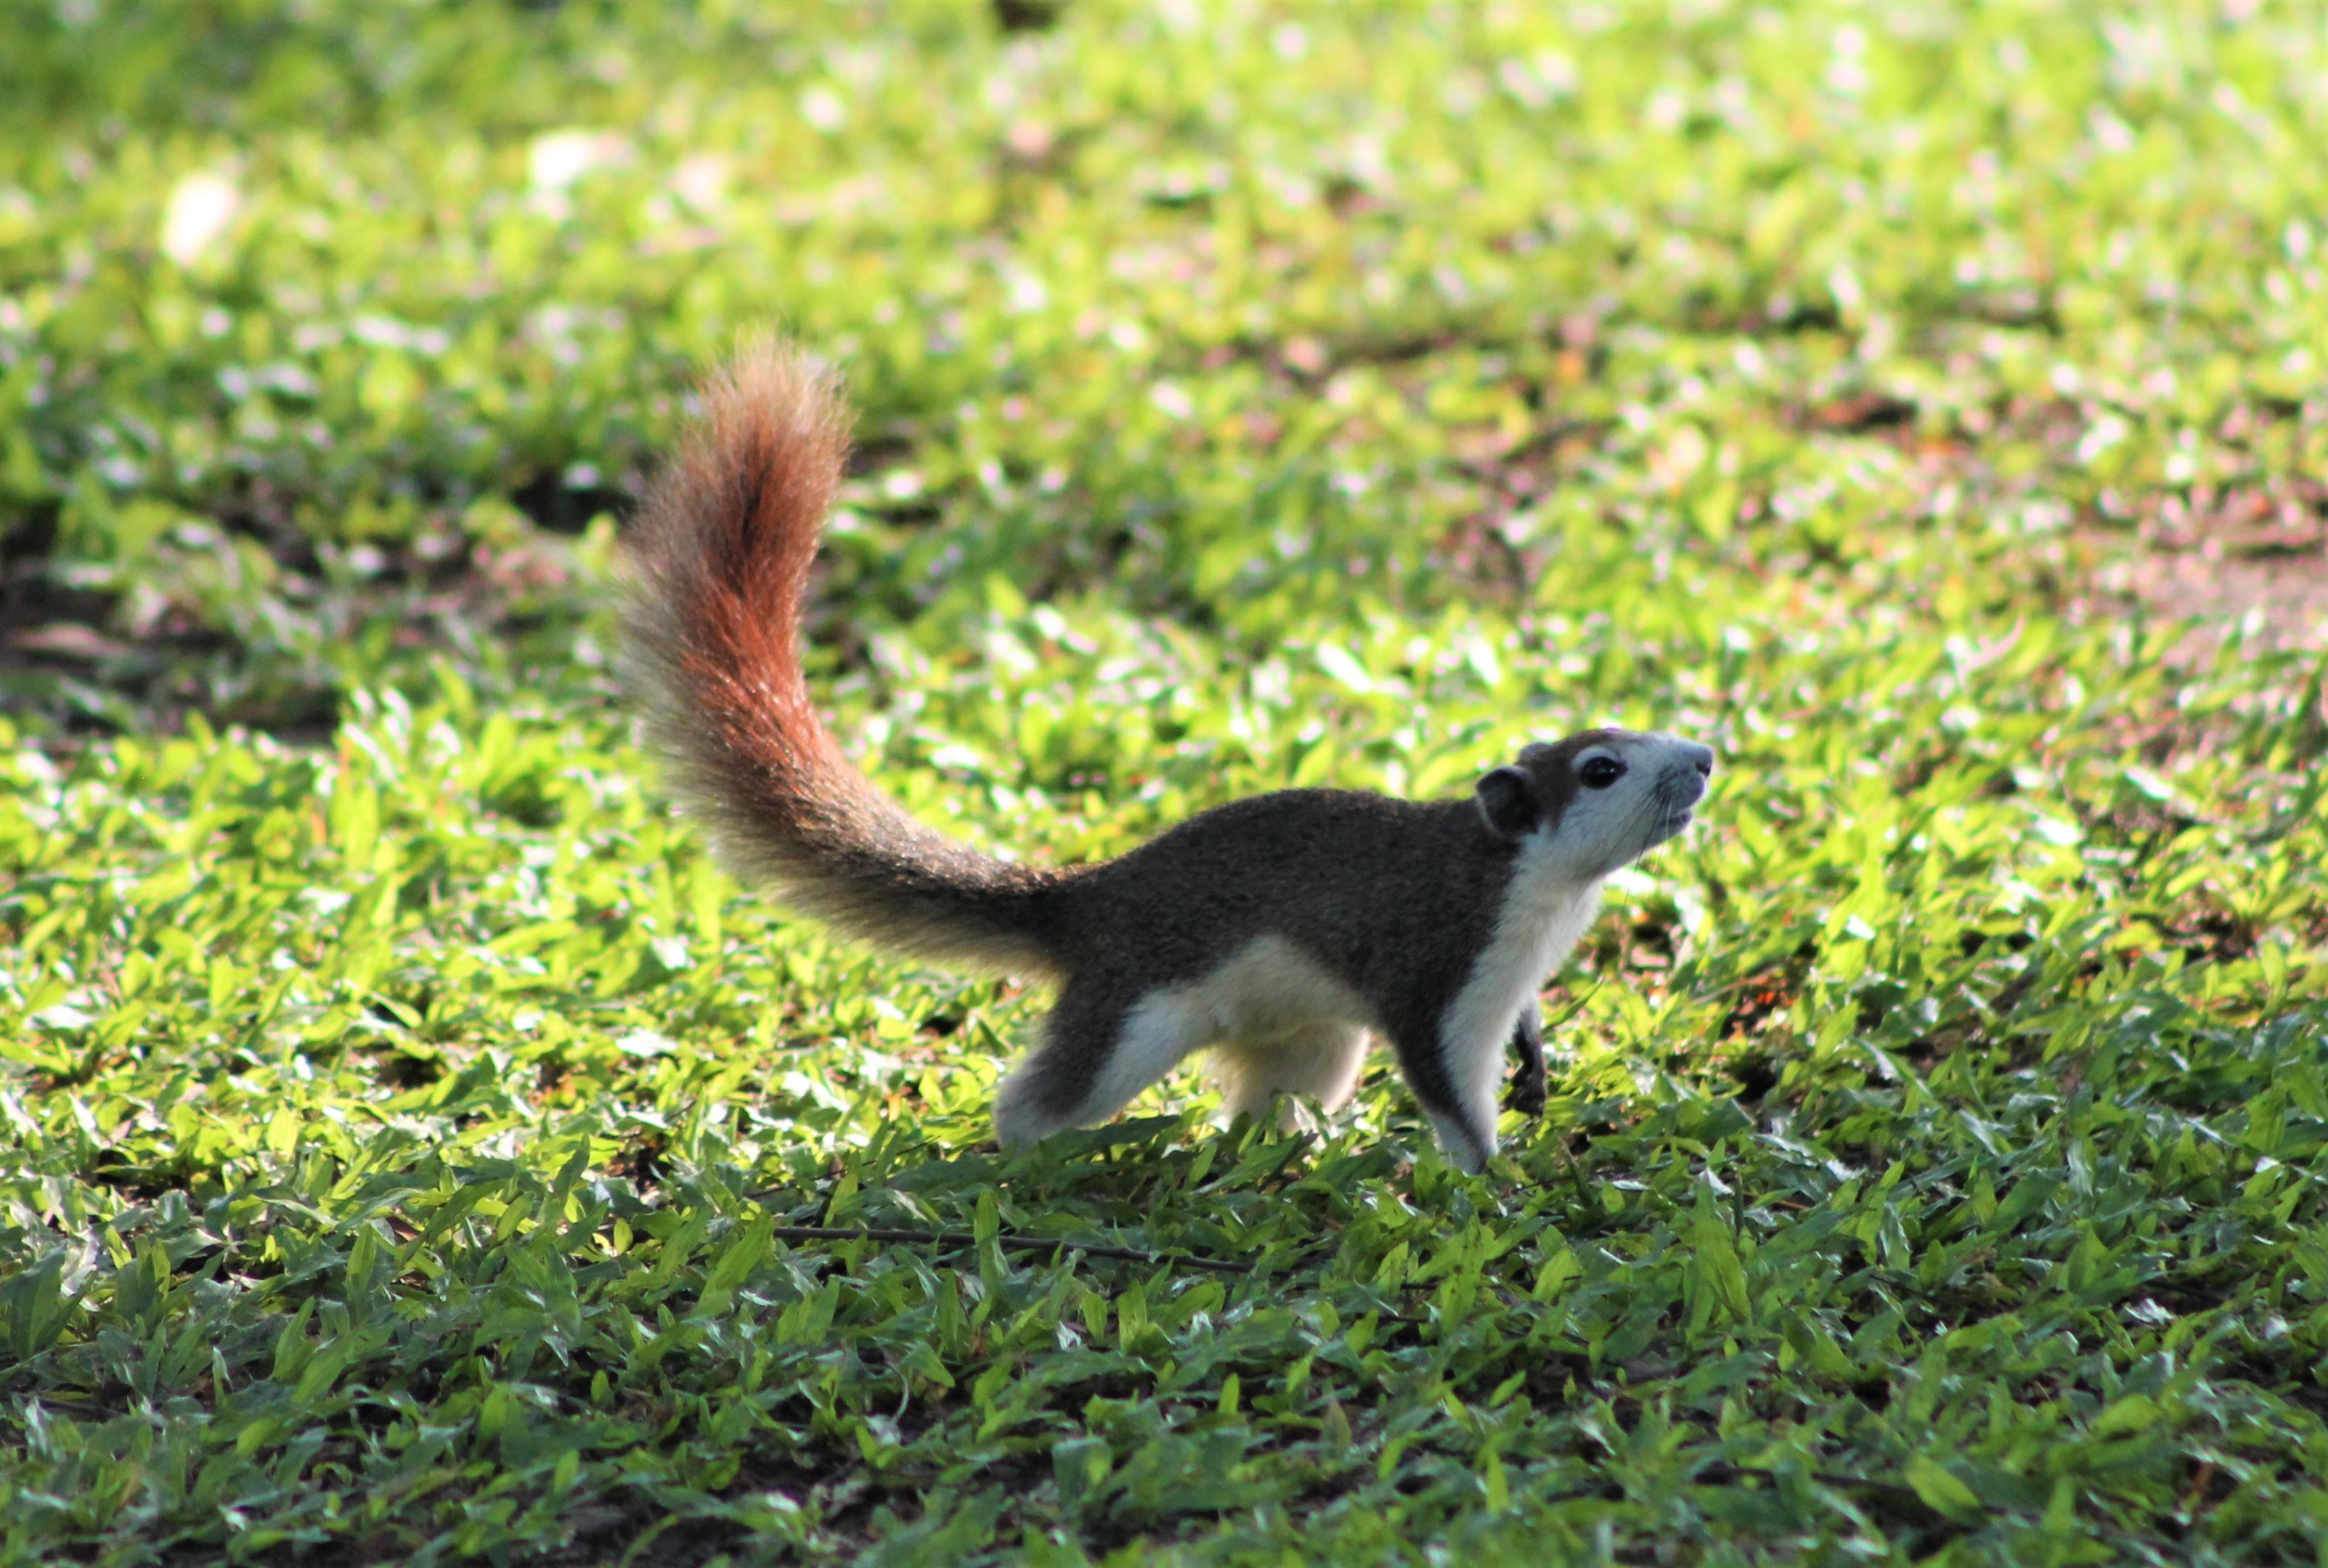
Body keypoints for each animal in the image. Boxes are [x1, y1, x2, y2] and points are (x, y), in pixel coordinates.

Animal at [621, 341, 1713, 1173]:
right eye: (1601, 770)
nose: (1703, 757)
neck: (1539, 892)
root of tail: (1084, 900)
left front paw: (1536, 1072)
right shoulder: (1438, 974)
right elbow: (1450, 1096)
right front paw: (1499, 1183)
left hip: (1313, 1039)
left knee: (1266, 1103)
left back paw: (1276, 1158)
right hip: (1135, 1014)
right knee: (1038, 1102)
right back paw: (1054, 1158)